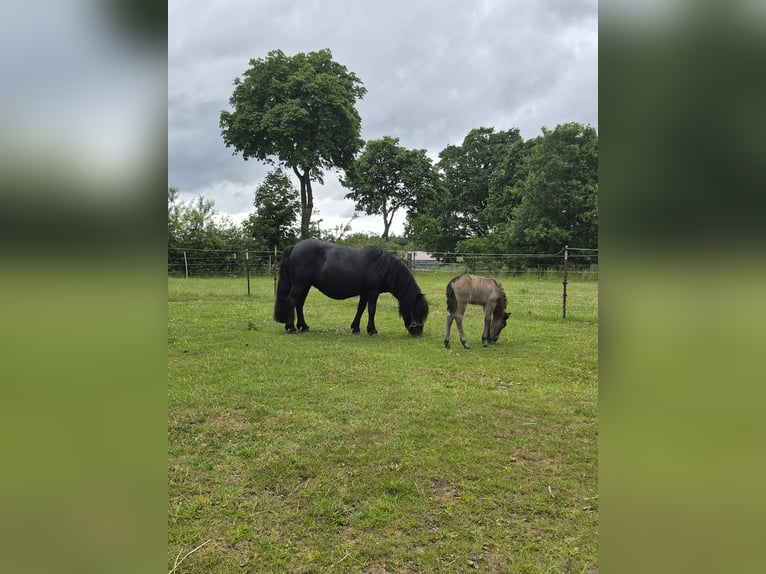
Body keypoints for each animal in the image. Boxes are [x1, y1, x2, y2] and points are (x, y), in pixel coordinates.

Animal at [273, 239, 429, 336]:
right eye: (416, 310)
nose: (418, 332)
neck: (383, 267)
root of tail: (295, 247)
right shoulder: (372, 292)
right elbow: (371, 310)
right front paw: (372, 331)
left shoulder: (365, 293)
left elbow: (360, 309)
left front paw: (356, 328)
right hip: (299, 285)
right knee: (291, 301)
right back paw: (292, 328)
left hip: (306, 286)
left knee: (299, 304)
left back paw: (304, 327)